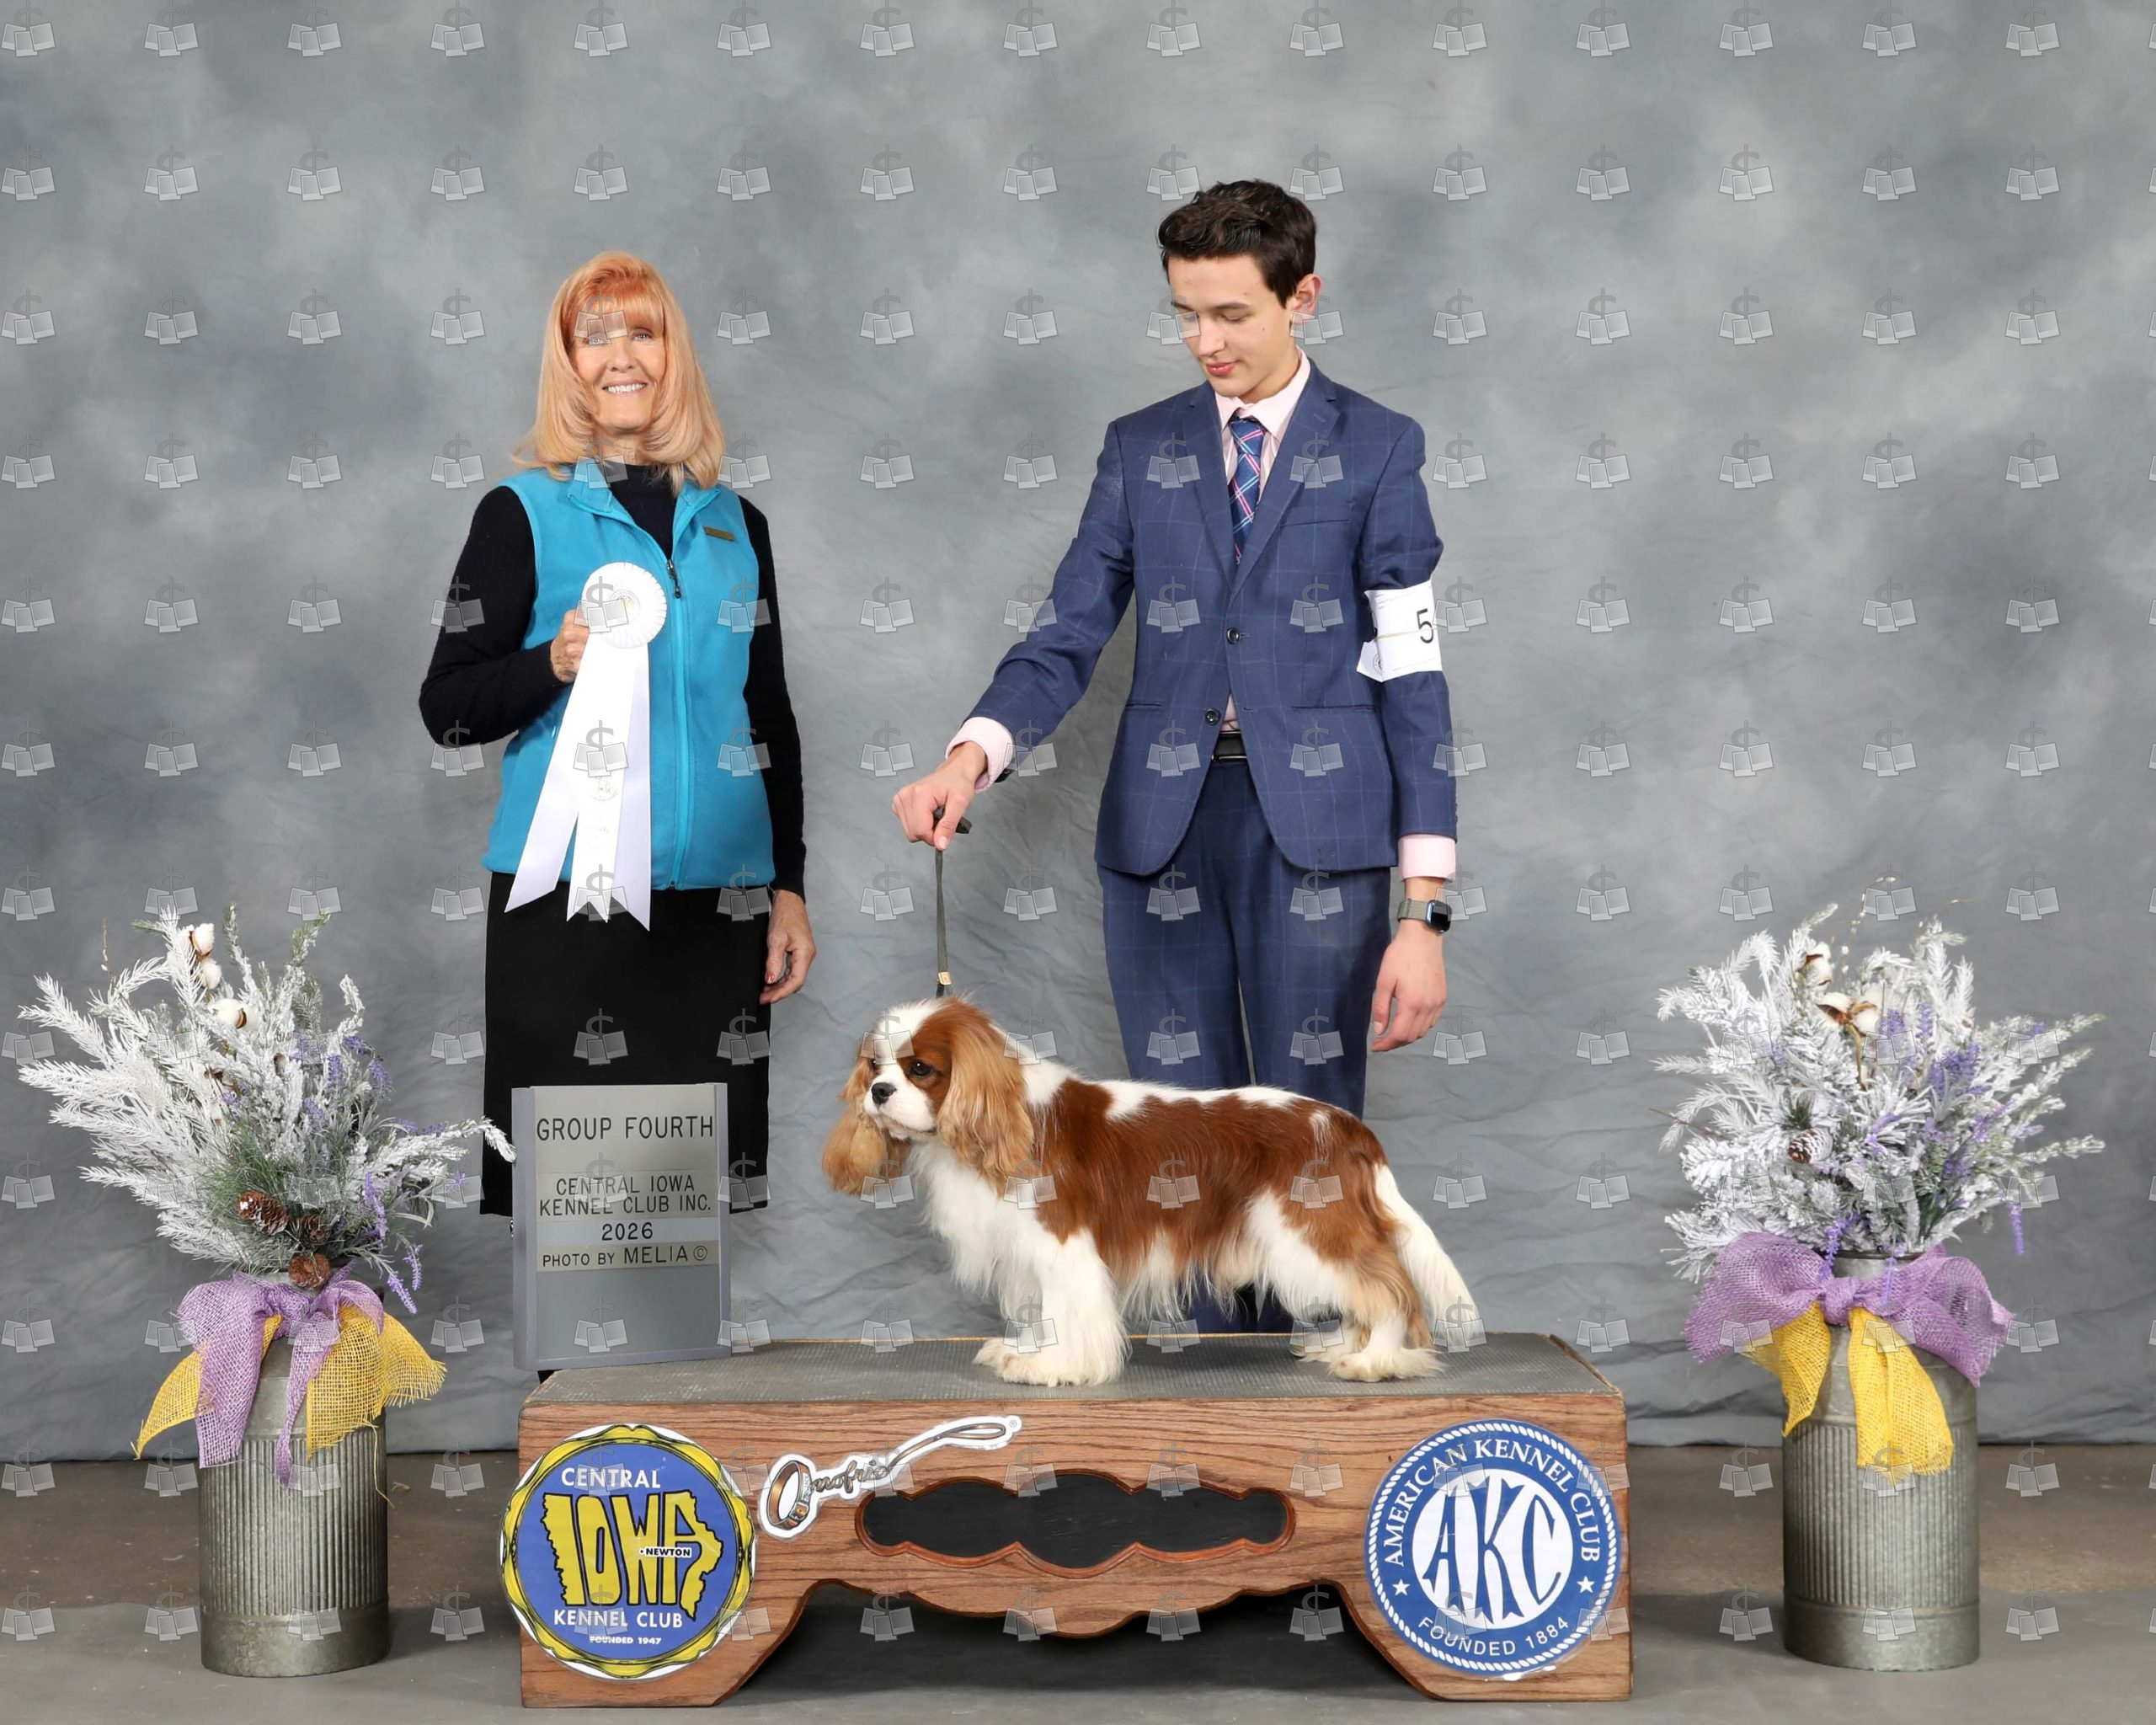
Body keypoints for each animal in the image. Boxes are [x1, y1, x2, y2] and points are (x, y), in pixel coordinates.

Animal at [821, 994, 1479, 1387]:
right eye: (874, 1065)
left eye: (920, 1069)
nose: (878, 1092)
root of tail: (1344, 1124)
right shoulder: (1025, 1252)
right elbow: (1037, 1312)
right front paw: (1025, 1353)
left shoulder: (1062, 1243)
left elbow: (1065, 1311)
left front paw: (1054, 1367)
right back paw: (1344, 1345)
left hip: (1309, 1228)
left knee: (1388, 1285)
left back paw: (1374, 1358)